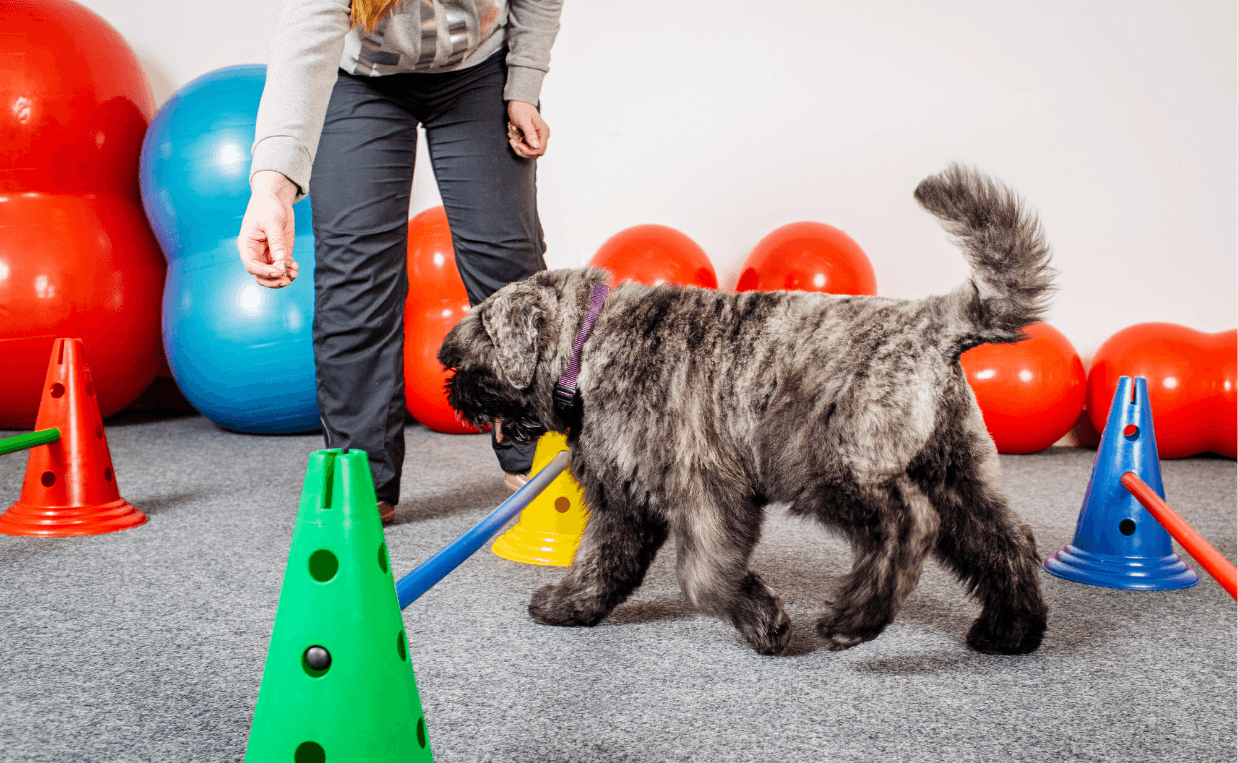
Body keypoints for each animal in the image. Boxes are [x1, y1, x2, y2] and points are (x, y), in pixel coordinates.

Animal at [440, 165, 1049, 654]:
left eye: (469, 354)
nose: (453, 393)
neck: (588, 343)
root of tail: (936, 322)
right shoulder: (624, 501)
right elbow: (601, 562)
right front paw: (569, 606)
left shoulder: (707, 490)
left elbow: (704, 575)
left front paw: (764, 622)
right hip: (955, 474)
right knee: (1004, 542)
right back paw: (1010, 631)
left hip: (829, 465)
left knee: (909, 525)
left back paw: (855, 618)